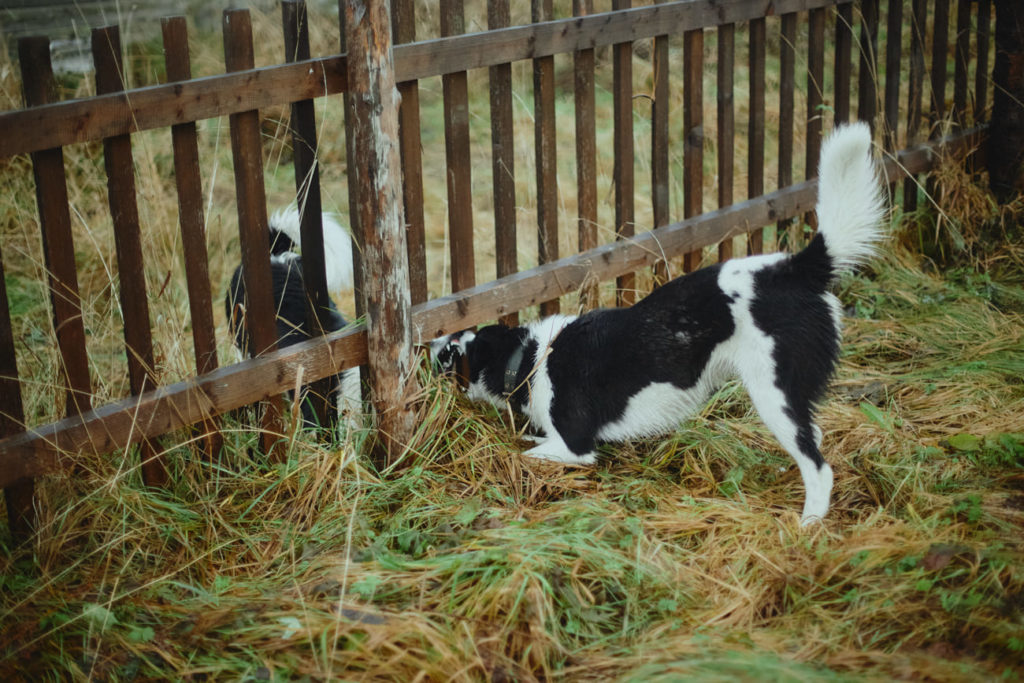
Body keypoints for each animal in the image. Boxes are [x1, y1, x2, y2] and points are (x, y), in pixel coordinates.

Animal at [428, 124, 884, 524]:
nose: (428, 343)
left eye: (452, 353)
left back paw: (808, 525)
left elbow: (531, 452)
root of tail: (798, 267)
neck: (530, 358)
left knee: (819, 467)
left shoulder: (576, 448)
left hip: (775, 393)